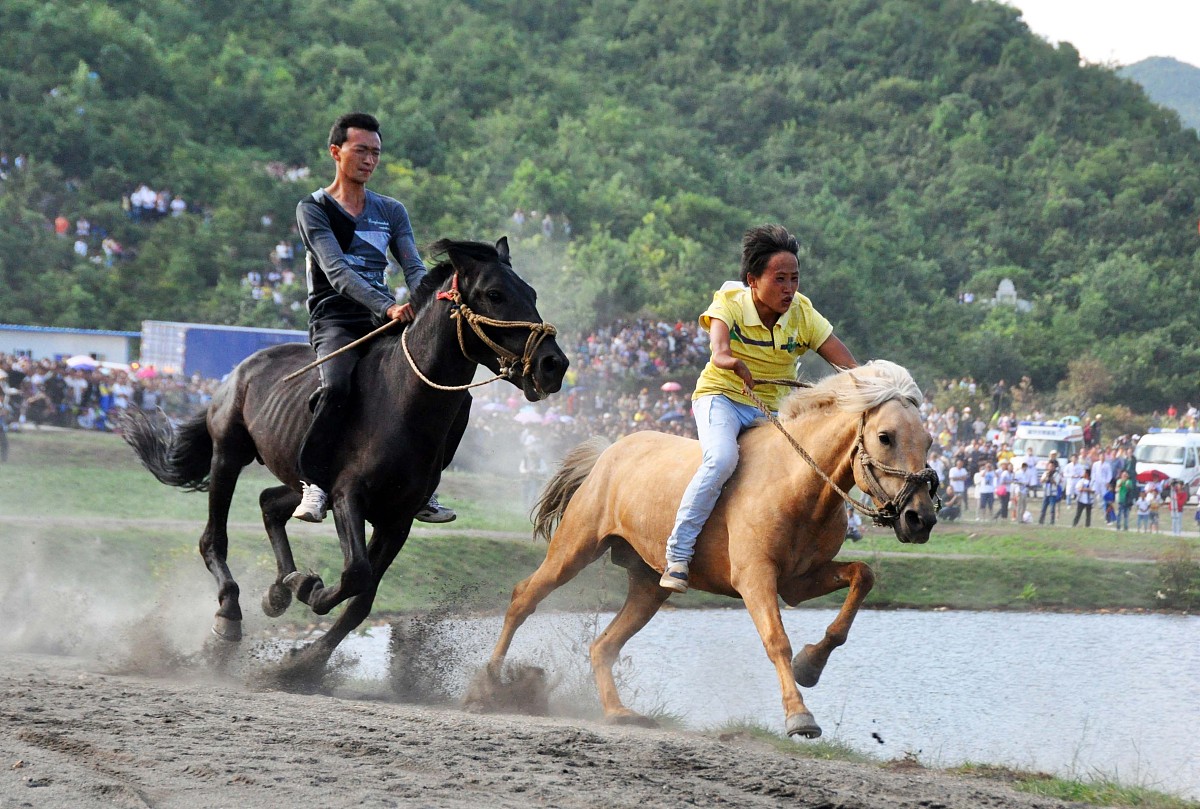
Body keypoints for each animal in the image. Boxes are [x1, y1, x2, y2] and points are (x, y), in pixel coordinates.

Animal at [122, 238, 568, 674]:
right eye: (494, 294)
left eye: (531, 293)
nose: (554, 364)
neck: (403, 402)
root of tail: (238, 372)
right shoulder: (347, 497)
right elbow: (355, 574)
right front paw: (309, 590)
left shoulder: (397, 520)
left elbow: (363, 599)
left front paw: (305, 660)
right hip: (228, 455)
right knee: (213, 538)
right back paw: (232, 612)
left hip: (298, 476)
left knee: (270, 503)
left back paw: (278, 589)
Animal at [480, 361, 937, 737]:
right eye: (885, 436)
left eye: (929, 440)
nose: (921, 518)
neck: (796, 483)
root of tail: (608, 451)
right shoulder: (755, 577)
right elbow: (777, 641)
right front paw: (799, 715)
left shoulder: (798, 582)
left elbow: (863, 576)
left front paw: (811, 664)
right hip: (574, 549)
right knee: (524, 597)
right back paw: (489, 683)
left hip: (649, 584)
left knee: (603, 645)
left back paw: (618, 712)